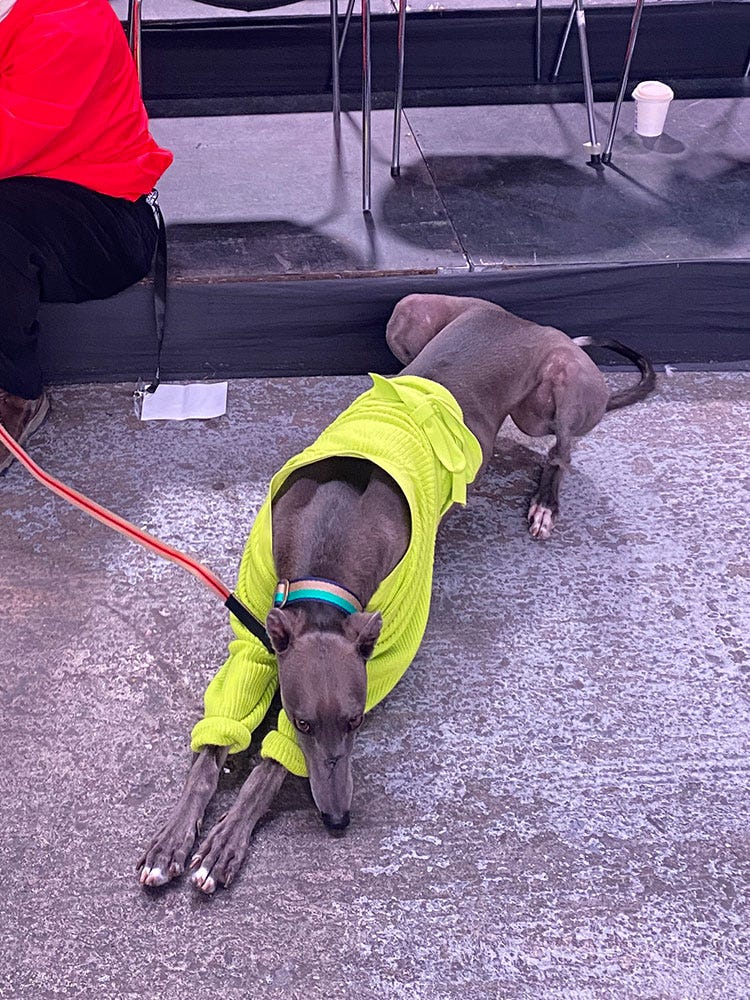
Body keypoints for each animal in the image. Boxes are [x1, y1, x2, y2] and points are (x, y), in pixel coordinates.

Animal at [137, 293, 655, 894]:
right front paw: (173, 839)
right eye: (302, 721)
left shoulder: (384, 641)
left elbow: (268, 767)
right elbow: (209, 750)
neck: (327, 552)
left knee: (561, 452)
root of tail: (526, 321)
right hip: (407, 315)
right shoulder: (255, 635)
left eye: (357, 721)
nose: (338, 820)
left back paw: (546, 501)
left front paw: (227, 837)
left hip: (563, 387)